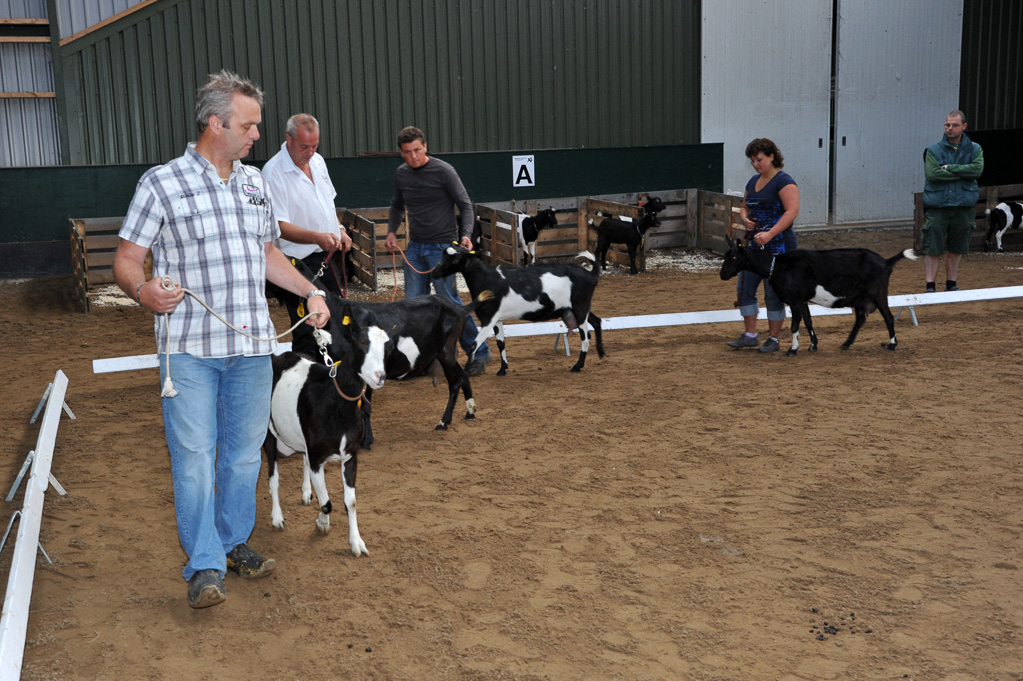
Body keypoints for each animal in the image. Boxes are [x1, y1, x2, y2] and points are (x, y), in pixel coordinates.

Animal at [261, 314, 388, 556]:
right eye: (362, 342)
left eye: (388, 345)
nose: (380, 376)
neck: (334, 400)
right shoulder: (318, 458)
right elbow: (328, 503)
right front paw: (322, 523)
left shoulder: (350, 455)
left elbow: (351, 502)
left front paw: (356, 543)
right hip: (268, 435)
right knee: (273, 477)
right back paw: (277, 517)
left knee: (302, 459)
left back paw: (306, 492)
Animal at [427, 244, 601, 374]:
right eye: (443, 255)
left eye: (456, 258)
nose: (434, 273)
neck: (487, 279)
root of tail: (590, 274)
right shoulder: (497, 320)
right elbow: (500, 343)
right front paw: (502, 369)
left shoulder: (488, 318)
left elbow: (473, 345)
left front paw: (468, 369)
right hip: (578, 308)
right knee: (597, 321)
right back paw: (601, 353)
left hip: (580, 306)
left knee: (586, 336)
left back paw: (577, 366)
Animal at [720, 237, 920, 355]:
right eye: (725, 256)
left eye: (735, 257)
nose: (722, 275)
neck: (776, 266)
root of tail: (886, 262)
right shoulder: (802, 301)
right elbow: (808, 321)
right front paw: (813, 345)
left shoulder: (795, 301)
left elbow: (794, 325)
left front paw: (793, 349)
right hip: (860, 298)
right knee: (860, 319)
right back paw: (846, 344)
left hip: (878, 292)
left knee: (888, 317)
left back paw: (892, 345)